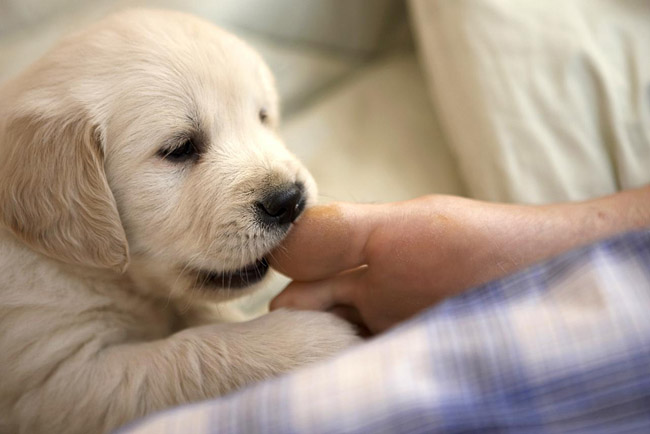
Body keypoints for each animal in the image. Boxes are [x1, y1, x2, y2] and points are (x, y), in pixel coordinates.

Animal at [0, 10, 356, 434]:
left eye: (262, 117)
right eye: (180, 149)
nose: (289, 200)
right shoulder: (58, 379)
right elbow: (192, 354)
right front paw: (311, 340)